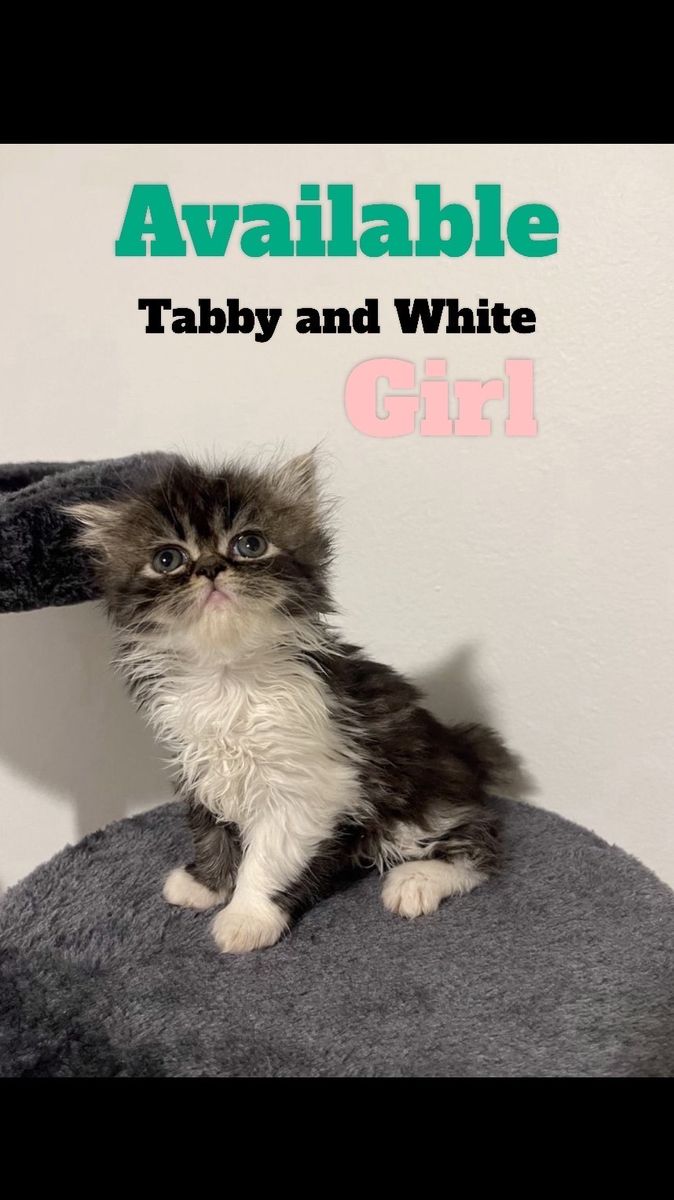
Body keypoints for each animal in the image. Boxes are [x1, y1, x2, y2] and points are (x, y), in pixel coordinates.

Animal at [68, 452, 515, 954]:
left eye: (249, 544)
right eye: (168, 559)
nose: (210, 567)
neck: (229, 675)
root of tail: (457, 745)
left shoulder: (312, 785)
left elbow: (267, 858)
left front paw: (246, 916)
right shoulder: (198, 764)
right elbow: (208, 828)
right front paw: (206, 882)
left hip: (415, 800)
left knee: (480, 839)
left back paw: (416, 881)